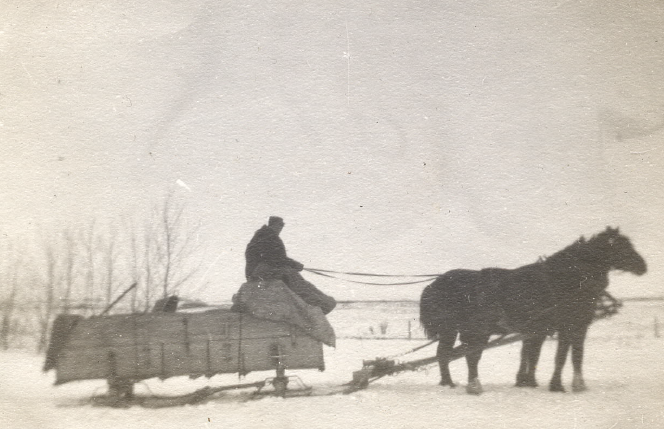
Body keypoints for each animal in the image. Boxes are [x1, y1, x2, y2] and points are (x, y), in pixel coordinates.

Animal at [420, 227, 648, 394]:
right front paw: (556, 385)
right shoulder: (563, 326)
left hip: (452, 330)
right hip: (473, 330)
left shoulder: (575, 326)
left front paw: (575, 385)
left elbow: (574, 355)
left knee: (444, 353)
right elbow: (559, 356)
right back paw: (473, 386)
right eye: (622, 246)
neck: (565, 280)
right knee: (468, 355)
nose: (643, 267)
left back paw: (448, 383)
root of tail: (435, 284)